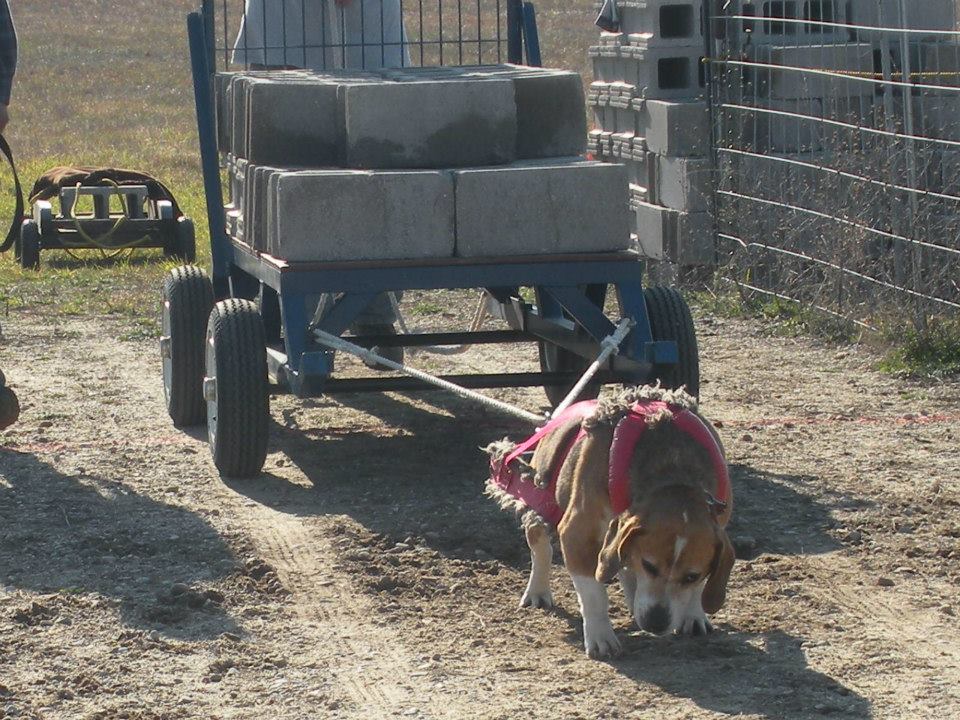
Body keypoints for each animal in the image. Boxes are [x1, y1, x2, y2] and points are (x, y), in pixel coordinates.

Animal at [488, 388, 736, 660]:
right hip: (538, 500)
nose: (655, 623)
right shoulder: (577, 534)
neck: (674, 477)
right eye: (649, 565)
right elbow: (594, 594)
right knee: (541, 549)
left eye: (692, 576)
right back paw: (538, 591)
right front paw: (600, 637)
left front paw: (693, 614)